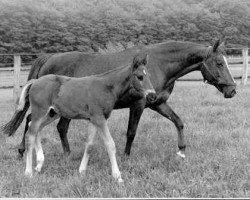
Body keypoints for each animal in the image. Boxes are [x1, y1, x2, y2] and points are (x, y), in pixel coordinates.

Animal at [11, 39, 235, 159]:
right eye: (219, 63)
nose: (232, 91)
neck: (158, 64)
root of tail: (49, 58)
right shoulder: (138, 105)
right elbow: (131, 132)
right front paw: (126, 156)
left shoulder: (157, 103)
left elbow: (178, 121)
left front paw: (181, 150)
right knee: (32, 122)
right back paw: (24, 151)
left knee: (55, 127)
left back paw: (66, 154)